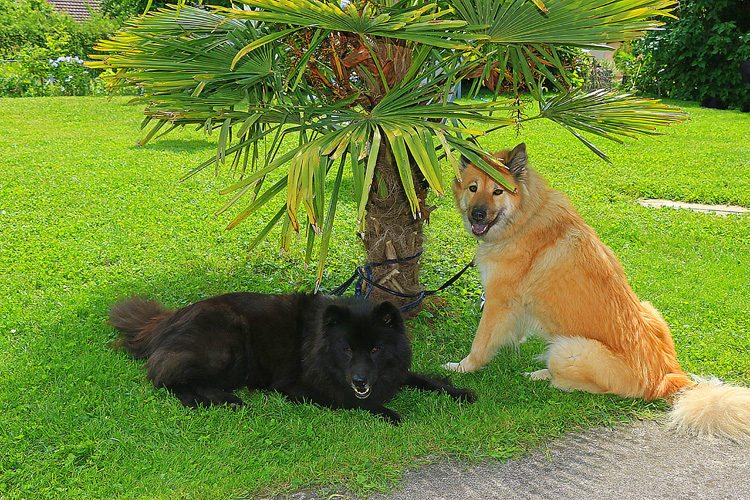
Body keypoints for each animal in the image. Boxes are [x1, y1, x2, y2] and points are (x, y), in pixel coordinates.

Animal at [108, 292, 476, 422]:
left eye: (374, 349)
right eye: (346, 350)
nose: (359, 380)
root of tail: (167, 320)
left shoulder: (392, 370)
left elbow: (425, 378)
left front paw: (460, 391)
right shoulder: (303, 387)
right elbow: (355, 401)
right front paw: (390, 413)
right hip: (230, 346)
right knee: (168, 377)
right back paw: (223, 399)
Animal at [446, 143, 750, 440]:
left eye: (498, 191)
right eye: (473, 187)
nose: (477, 214)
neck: (524, 218)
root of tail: (667, 378)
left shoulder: (498, 300)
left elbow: (481, 343)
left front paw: (463, 367)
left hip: (568, 349)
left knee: (581, 386)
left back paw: (541, 374)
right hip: (648, 308)